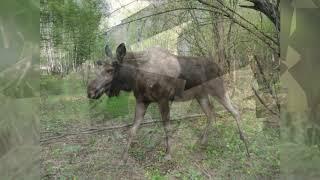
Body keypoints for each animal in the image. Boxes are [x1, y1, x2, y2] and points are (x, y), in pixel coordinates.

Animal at [88, 43, 250, 162]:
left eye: (110, 70)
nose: (90, 91)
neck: (135, 78)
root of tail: (219, 66)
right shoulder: (142, 101)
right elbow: (132, 130)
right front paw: (123, 157)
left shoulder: (163, 99)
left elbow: (167, 128)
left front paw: (169, 154)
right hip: (201, 96)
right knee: (211, 114)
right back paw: (204, 141)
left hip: (218, 89)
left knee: (235, 111)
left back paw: (245, 142)